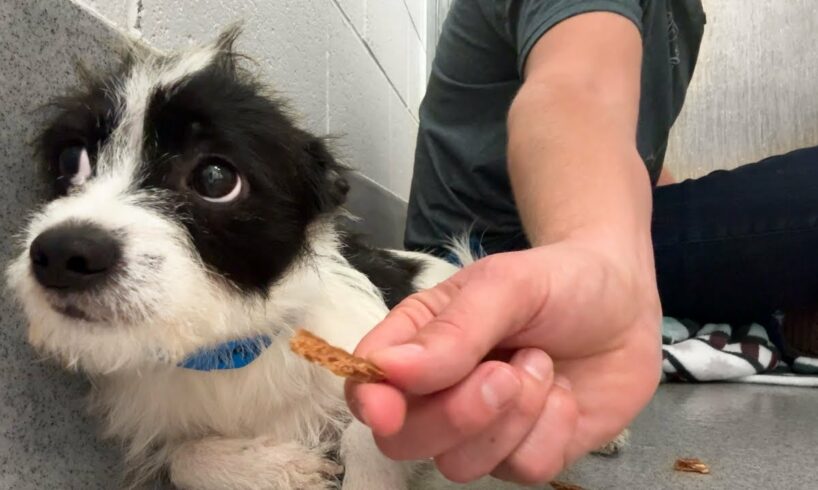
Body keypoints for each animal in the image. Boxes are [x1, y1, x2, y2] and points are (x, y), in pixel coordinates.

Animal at [4, 26, 624, 490]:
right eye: (71, 160)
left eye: (215, 178)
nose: (61, 252)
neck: (227, 348)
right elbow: (184, 457)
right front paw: (277, 468)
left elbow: (367, 436)